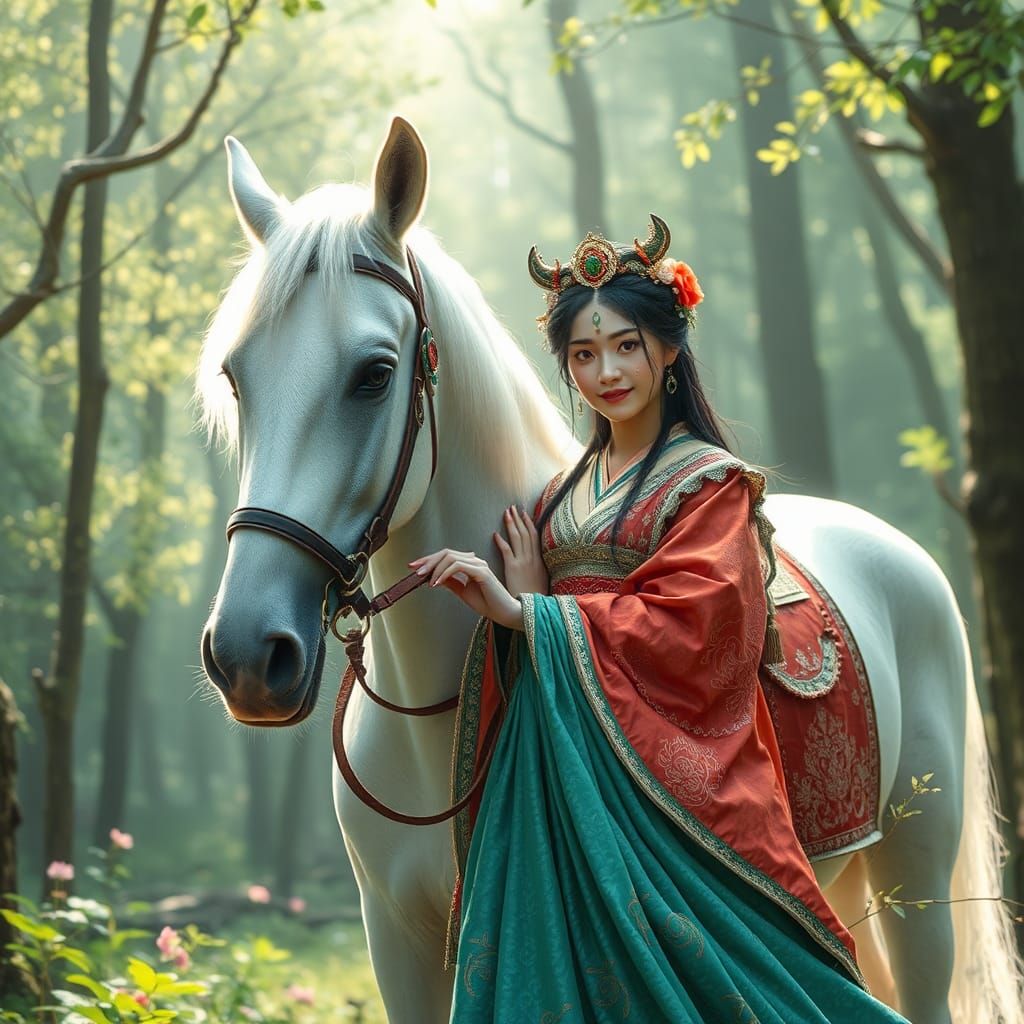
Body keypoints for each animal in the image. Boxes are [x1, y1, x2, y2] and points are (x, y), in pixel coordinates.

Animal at [195, 116, 1021, 1024]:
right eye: (235, 379)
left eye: (374, 375)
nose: (247, 653)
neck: (428, 718)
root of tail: (895, 548)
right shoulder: (393, 942)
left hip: (920, 875)